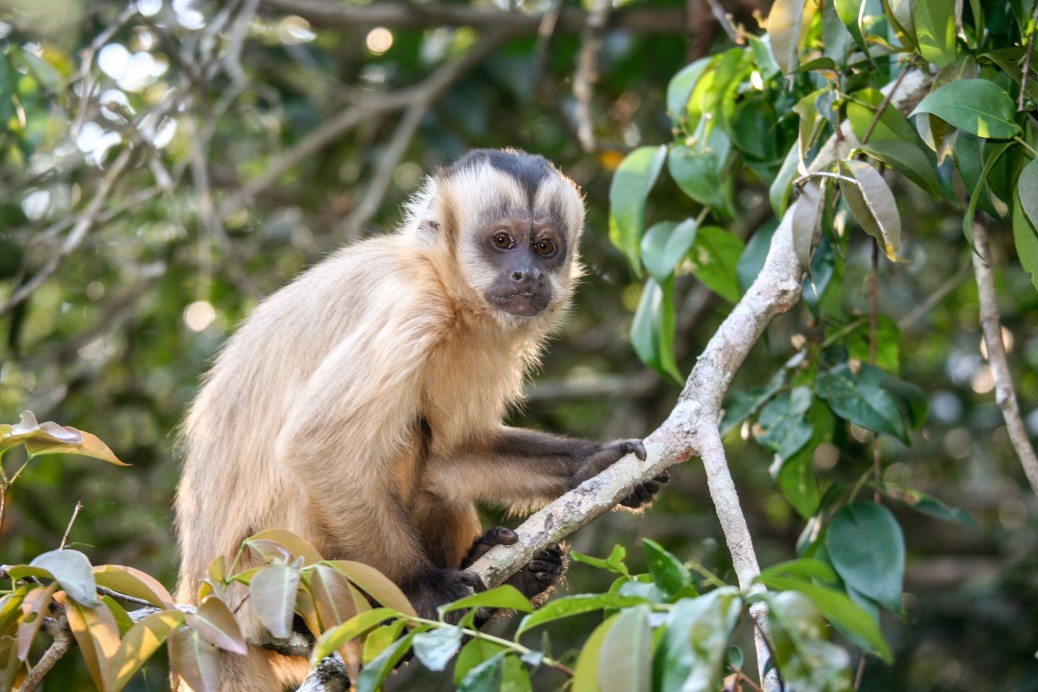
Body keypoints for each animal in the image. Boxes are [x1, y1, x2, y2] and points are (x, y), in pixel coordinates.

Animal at [175, 149, 668, 688]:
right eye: (502, 242)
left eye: (544, 248)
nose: (528, 274)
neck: (445, 285)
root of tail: (207, 609)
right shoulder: (415, 307)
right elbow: (318, 445)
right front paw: (422, 590)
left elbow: (457, 451)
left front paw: (596, 464)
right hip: (277, 573)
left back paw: (507, 579)